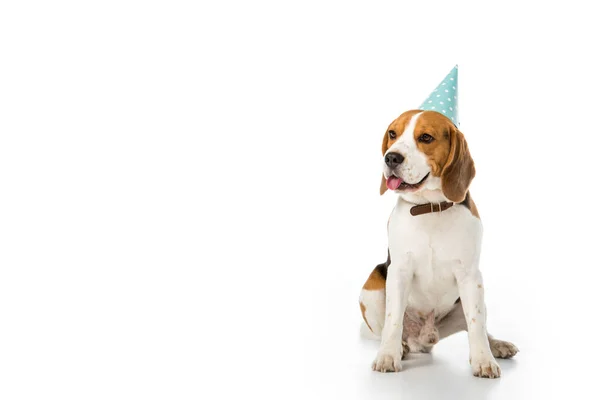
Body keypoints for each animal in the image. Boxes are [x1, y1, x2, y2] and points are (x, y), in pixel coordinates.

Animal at [358, 109, 516, 378]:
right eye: (393, 134)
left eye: (426, 137)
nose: (391, 158)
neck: (429, 208)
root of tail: (424, 337)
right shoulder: (398, 271)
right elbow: (393, 319)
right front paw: (388, 356)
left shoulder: (470, 276)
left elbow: (476, 324)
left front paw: (483, 360)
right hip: (372, 286)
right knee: (388, 330)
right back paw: (400, 347)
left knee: (479, 325)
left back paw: (497, 345)